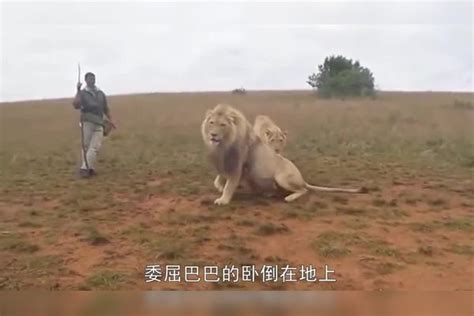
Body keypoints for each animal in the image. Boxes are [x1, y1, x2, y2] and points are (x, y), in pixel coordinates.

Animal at [202, 102, 364, 205]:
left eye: (223, 125)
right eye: (211, 123)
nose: (213, 135)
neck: (224, 143)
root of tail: (302, 179)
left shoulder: (238, 165)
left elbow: (230, 185)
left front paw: (223, 199)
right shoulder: (224, 161)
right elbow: (219, 178)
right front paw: (219, 186)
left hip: (282, 178)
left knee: (303, 190)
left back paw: (289, 198)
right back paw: (268, 193)